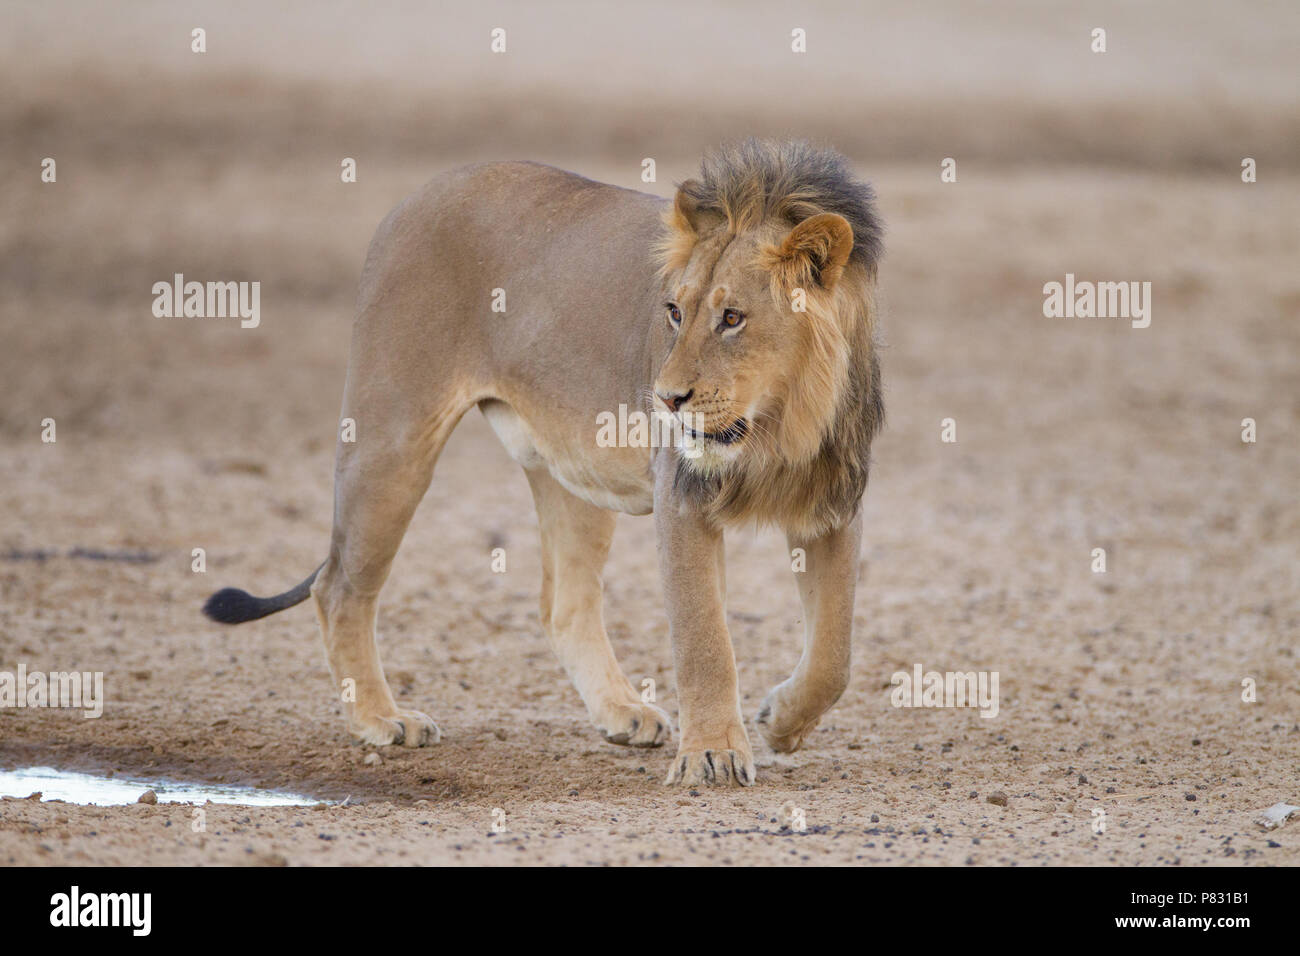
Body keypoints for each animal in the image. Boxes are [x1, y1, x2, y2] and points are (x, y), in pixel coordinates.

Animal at [203, 139, 884, 788]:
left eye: (733, 318)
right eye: (674, 312)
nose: (665, 399)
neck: (782, 424)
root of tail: (416, 195)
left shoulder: (833, 508)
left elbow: (836, 653)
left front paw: (782, 723)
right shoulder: (683, 497)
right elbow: (705, 641)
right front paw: (712, 756)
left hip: (573, 477)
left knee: (564, 604)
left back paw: (621, 712)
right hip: (391, 441)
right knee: (339, 585)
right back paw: (381, 718)